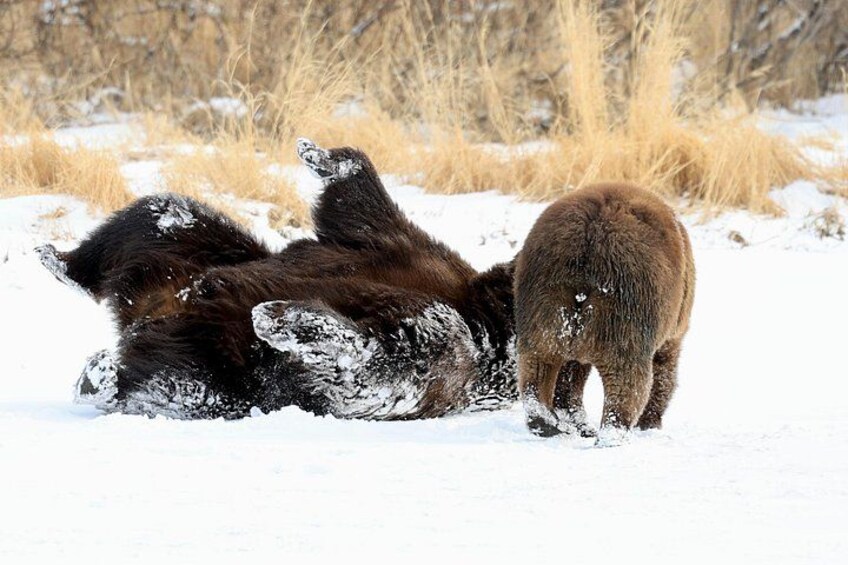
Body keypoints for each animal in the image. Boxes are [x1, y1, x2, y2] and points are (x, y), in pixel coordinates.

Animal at [37, 139, 518, 420]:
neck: (480, 306)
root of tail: (146, 314)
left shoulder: (464, 353)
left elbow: (381, 367)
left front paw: (284, 318)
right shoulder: (400, 249)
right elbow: (359, 211)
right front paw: (321, 155)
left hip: (221, 368)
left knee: (175, 387)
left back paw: (103, 378)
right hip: (193, 257)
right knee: (162, 215)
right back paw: (62, 262)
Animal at [513, 183, 695, 444]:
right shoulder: (673, 329)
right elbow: (664, 370)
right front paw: (650, 421)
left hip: (543, 308)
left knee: (538, 368)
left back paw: (548, 423)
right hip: (626, 313)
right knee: (627, 378)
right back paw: (611, 433)